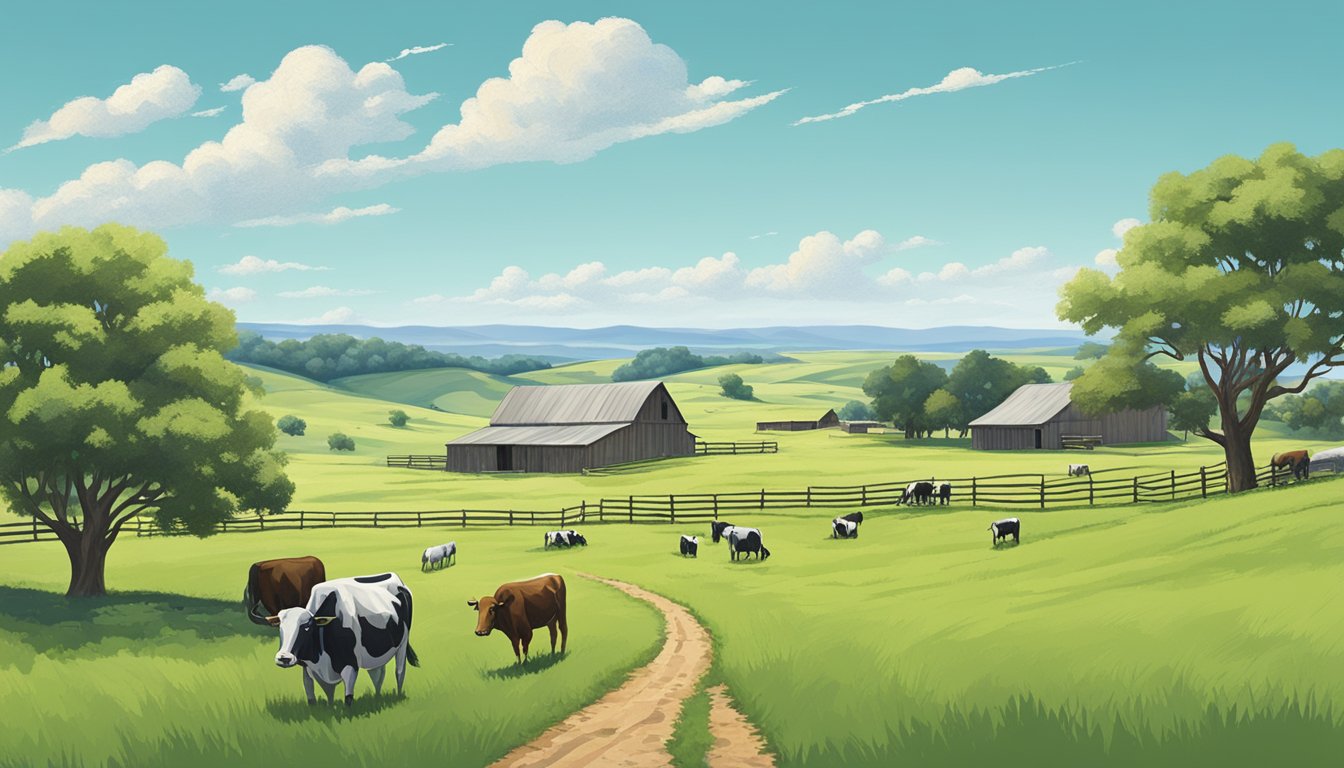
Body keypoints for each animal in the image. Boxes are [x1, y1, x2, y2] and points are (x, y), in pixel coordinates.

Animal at [267, 570, 419, 710]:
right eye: (280, 627)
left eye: (307, 627)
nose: (284, 658)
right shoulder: (308, 667)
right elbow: (314, 696)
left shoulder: (350, 665)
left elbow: (348, 699)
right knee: (378, 675)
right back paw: (377, 698)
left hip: (403, 644)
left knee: (399, 672)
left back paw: (398, 696)